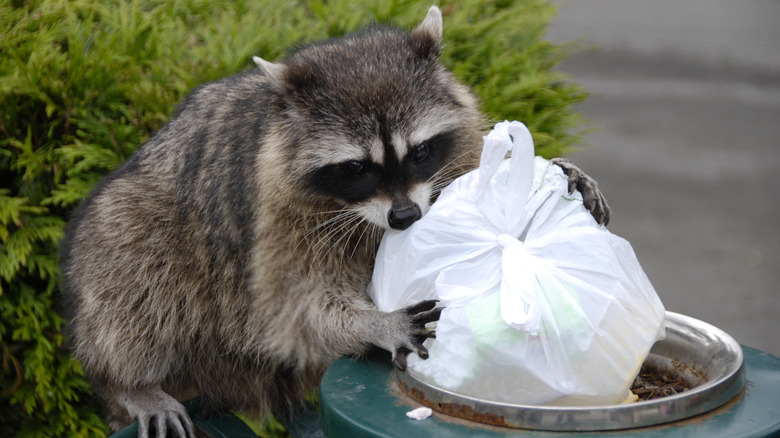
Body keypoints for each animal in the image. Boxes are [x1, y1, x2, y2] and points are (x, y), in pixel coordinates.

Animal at [61, 6, 608, 438]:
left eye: (420, 152)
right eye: (357, 168)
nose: (406, 217)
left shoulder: (453, 151)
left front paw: (555, 172)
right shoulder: (276, 220)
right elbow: (293, 310)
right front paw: (375, 322)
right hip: (134, 226)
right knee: (132, 270)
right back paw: (130, 382)